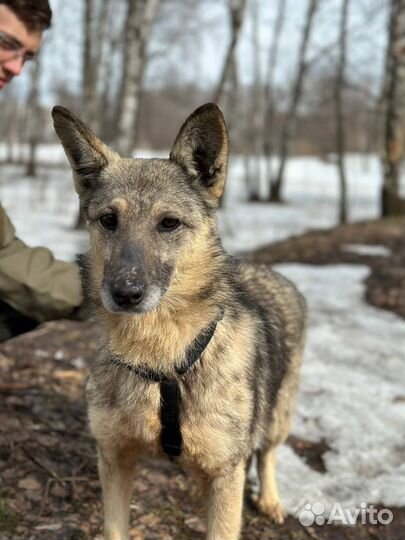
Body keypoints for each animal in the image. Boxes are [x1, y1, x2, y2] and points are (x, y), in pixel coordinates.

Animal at [53, 102, 306, 540]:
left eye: (168, 223)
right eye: (108, 220)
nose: (125, 293)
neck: (162, 361)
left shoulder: (226, 474)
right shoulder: (114, 458)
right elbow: (114, 528)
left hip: (278, 416)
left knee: (267, 455)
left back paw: (271, 499)